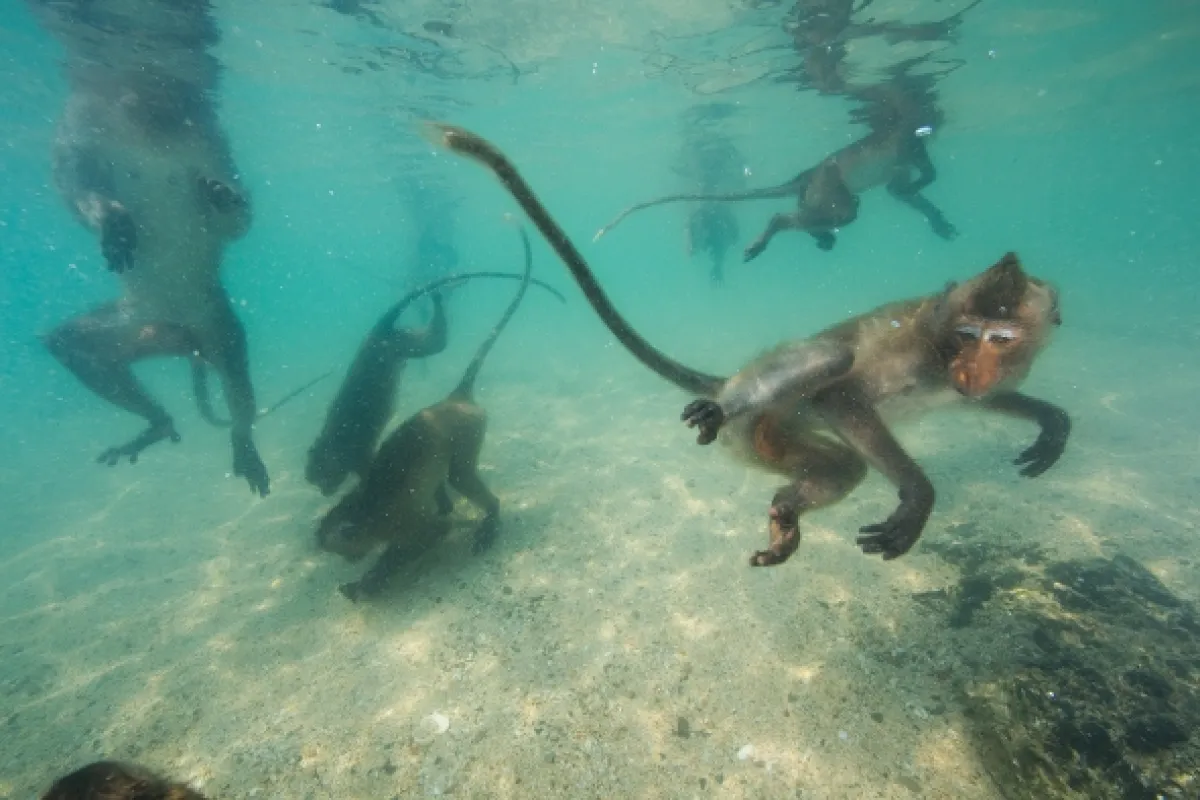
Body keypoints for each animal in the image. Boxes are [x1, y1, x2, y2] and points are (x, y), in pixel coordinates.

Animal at [28, 0, 272, 495]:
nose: (147, 85)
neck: (150, 131)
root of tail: (180, 339)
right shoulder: (79, 131)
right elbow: (73, 180)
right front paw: (115, 223)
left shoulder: (215, 145)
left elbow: (239, 221)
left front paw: (221, 196)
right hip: (127, 325)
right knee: (70, 343)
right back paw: (156, 426)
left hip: (216, 325)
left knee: (238, 386)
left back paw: (245, 452)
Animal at [306, 270, 565, 496]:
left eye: (319, 476)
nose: (325, 492)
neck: (333, 442)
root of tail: (378, 330)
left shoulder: (359, 455)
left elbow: (369, 471)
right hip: (405, 344)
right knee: (435, 336)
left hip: (402, 345)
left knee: (438, 340)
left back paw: (440, 294)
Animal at [317, 230, 537, 601]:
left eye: (343, 551)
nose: (350, 562)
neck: (366, 508)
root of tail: (454, 399)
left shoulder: (397, 522)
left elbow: (434, 531)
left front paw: (368, 582)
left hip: (468, 428)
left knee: (460, 474)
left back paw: (491, 515)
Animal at [429, 123, 1070, 567]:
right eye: (967, 336)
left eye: (1000, 339)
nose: (973, 367)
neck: (938, 348)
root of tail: (733, 384)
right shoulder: (909, 359)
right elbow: (842, 395)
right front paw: (917, 495)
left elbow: (988, 401)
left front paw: (1051, 422)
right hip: (757, 402)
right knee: (829, 361)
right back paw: (722, 407)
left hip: (767, 435)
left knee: (842, 467)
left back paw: (785, 508)